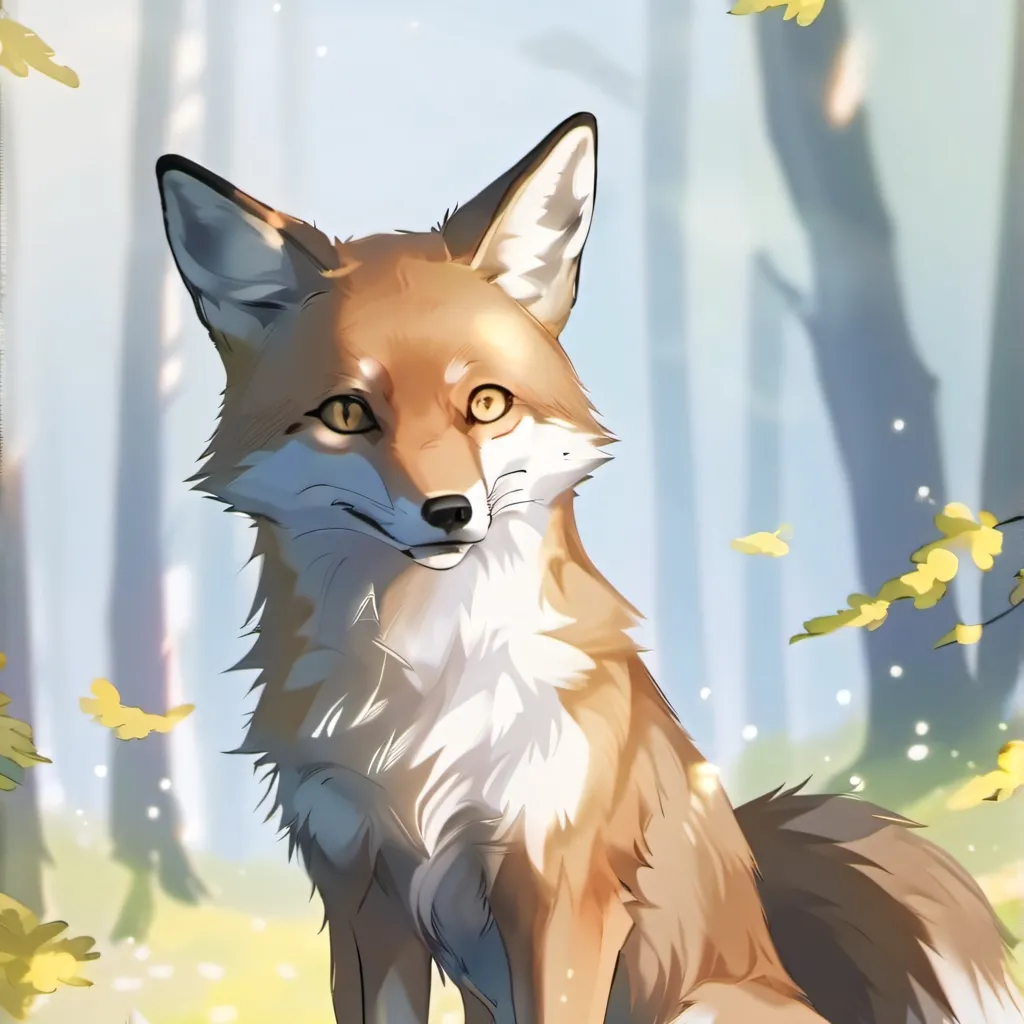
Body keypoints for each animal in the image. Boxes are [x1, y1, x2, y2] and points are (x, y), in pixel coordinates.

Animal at [155, 112, 1023, 1024]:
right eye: (349, 413)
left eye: (487, 404)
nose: (449, 512)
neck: (422, 685)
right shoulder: (364, 900)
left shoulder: (561, 891)